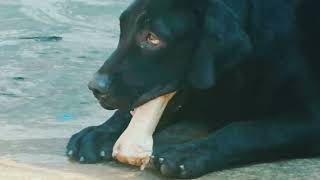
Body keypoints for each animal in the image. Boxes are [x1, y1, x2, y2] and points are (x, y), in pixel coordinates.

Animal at [66, 0, 318, 179]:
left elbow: (246, 130)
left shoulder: (311, 118)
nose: (95, 87)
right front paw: (98, 132)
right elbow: (127, 115)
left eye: (152, 38)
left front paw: (188, 153)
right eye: (123, 29)